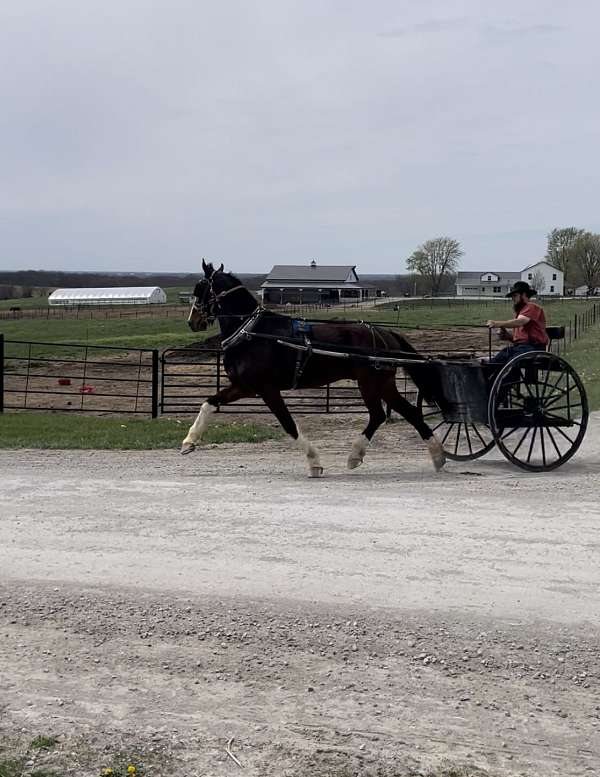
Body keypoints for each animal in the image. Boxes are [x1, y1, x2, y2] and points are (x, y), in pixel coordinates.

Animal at [180, 260, 442, 476]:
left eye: (200, 288)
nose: (193, 322)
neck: (252, 333)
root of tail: (385, 333)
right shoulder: (244, 386)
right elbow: (208, 403)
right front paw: (189, 442)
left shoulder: (267, 389)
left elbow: (288, 424)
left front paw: (314, 462)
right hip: (383, 383)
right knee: (410, 412)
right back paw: (437, 455)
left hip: (369, 383)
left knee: (378, 415)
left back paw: (356, 455)